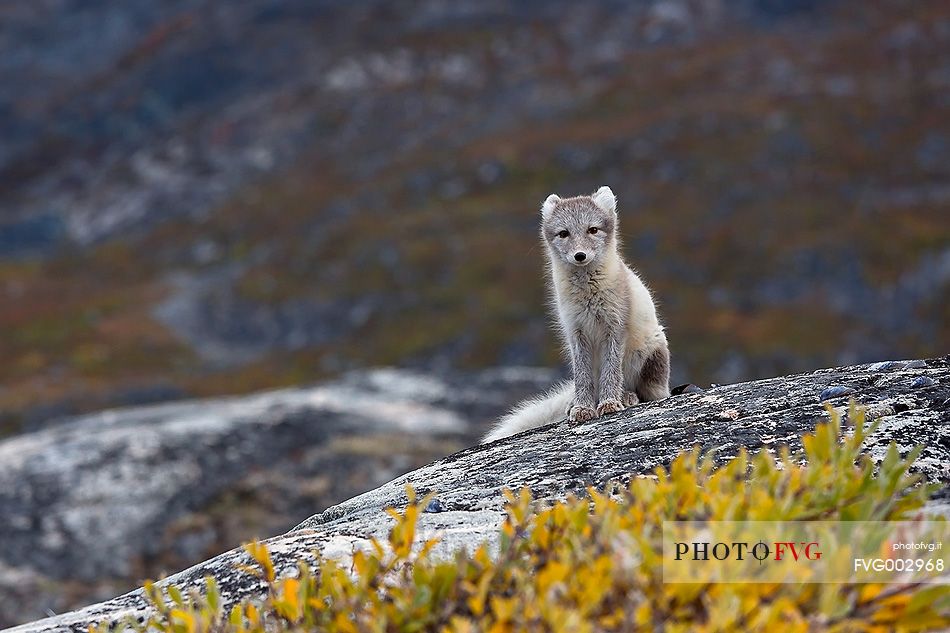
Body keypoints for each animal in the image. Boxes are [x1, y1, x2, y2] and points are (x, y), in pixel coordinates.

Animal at [484, 188, 676, 442]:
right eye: (564, 233)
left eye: (592, 230)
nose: (580, 255)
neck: (588, 295)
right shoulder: (575, 332)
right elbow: (582, 376)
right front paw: (583, 408)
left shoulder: (615, 327)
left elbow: (611, 371)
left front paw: (609, 403)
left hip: (652, 354)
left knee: (648, 392)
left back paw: (627, 396)